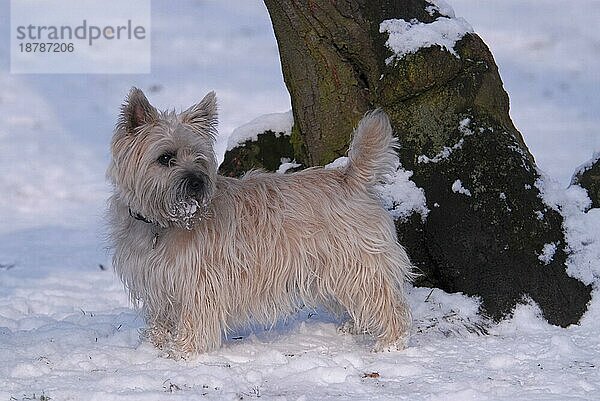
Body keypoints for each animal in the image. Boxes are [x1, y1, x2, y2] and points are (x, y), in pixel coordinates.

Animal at [108, 86, 414, 354]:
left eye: (199, 157)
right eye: (165, 157)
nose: (197, 181)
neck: (161, 224)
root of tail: (349, 177)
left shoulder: (200, 282)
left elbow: (195, 319)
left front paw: (183, 352)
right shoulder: (158, 284)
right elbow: (160, 318)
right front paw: (155, 346)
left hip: (357, 263)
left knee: (386, 301)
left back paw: (390, 342)